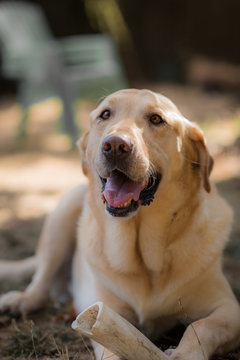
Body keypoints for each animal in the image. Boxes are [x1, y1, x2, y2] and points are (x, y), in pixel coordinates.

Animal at [0, 88, 240, 358]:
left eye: (156, 119)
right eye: (105, 114)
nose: (115, 145)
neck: (146, 260)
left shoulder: (228, 308)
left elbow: (201, 327)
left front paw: (183, 353)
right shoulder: (105, 313)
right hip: (65, 211)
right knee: (40, 281)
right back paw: (21, 300)